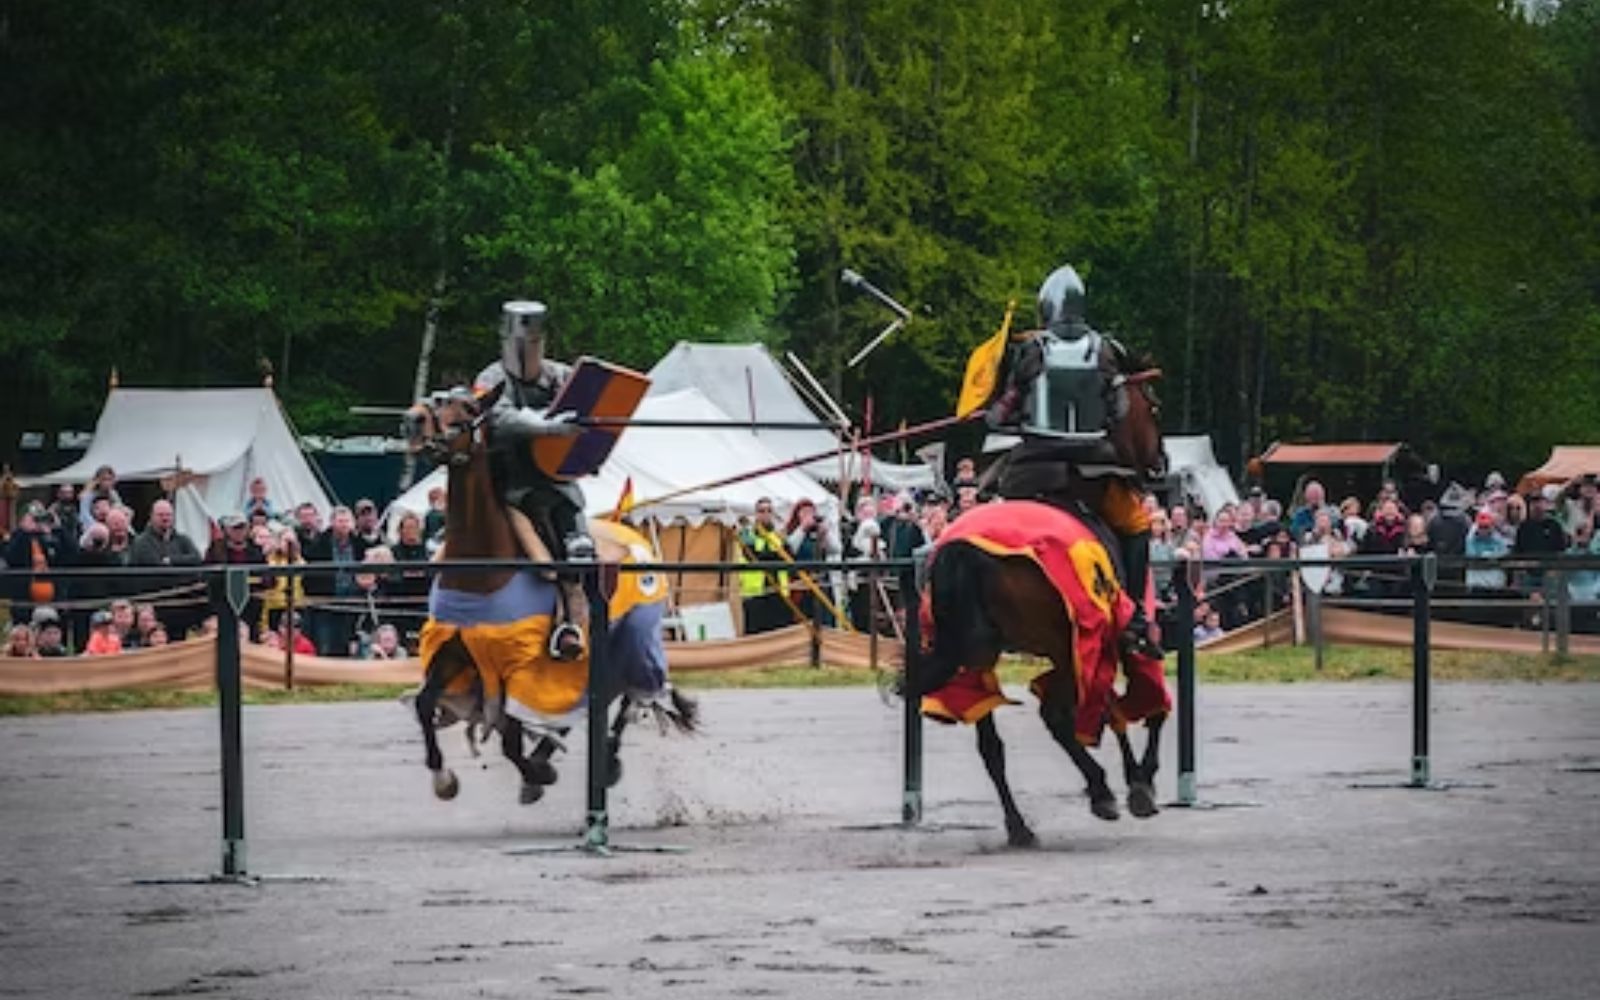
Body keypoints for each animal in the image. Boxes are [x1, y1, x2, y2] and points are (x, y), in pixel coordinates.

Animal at [403, 385, 691, 806]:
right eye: (435, 397)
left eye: (469, 406)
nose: (413, 420)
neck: (482, 564)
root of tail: (635, 539)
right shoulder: (454, 649)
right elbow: (425, 705)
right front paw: (443, 778)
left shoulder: (517, 663)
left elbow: (509, 738)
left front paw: (535, 775)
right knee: (603, 694)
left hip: (632, 634)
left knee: (626, 693)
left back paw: (603, 759)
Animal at [921, 347, 1171, 844]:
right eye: (1153, 407)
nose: (1162, 461)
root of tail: (962, 551)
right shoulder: (1109, 634)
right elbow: (1140, 705)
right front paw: (1140, 781)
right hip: (1062, 640)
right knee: (1060, 715)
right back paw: (1101, 790)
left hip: (979, 653)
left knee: (991, 741)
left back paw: (1020, 825)